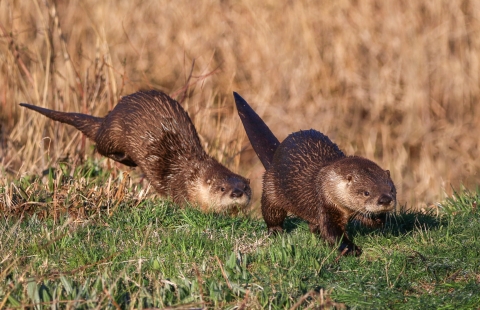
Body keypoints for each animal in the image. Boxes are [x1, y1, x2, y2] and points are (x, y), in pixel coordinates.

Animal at [19, 88, 251, 212]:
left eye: (246, 188)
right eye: (222, 188)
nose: (237, 193)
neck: (190, 174)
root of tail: (107, 119)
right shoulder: (179, 188)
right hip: (113, 135)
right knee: (101, 148)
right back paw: (127, 159)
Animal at [234, 92, 396, 256]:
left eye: (391, 190)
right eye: (366, 192)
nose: (385, 200)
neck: (328, 184)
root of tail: (275, 157)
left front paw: (378, 218)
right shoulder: (324, 204)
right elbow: (332, 233)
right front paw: (351, 249)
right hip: (271, 189)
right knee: (271, 212)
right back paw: (276, 231)